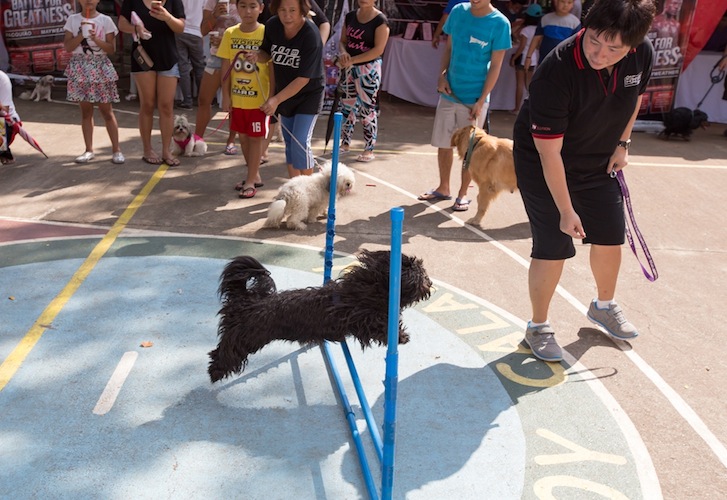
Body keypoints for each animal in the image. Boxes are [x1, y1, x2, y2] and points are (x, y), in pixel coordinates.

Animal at [208, 250, 432, 382]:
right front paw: (402, 336)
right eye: (421, 275)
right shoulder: (363, 320)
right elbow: (381, 327)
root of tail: (246, 300)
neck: (368, 288)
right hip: (245, 338)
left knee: (219, 348)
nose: (429, 284)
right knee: (227, 352)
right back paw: (215, 373)